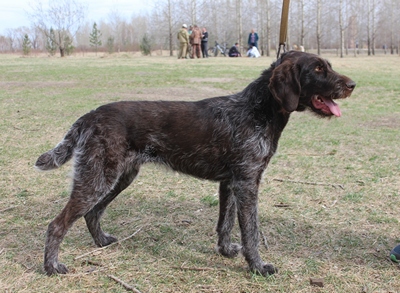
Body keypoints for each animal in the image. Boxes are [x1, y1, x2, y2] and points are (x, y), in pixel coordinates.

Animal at [36, 51, 354, 274]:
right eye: (317, 69)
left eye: (327, 66)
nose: (352, 84)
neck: (258, 109)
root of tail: (90, 116)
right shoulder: (247, 183)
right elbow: (251, 231)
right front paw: (258, 267)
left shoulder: (231, 183)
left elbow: (225, 223)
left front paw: (226, 252)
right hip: (98, 179)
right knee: (57, 224)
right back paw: (52, 267)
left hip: (118, 178)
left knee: (93, 213)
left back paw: (101, 241)